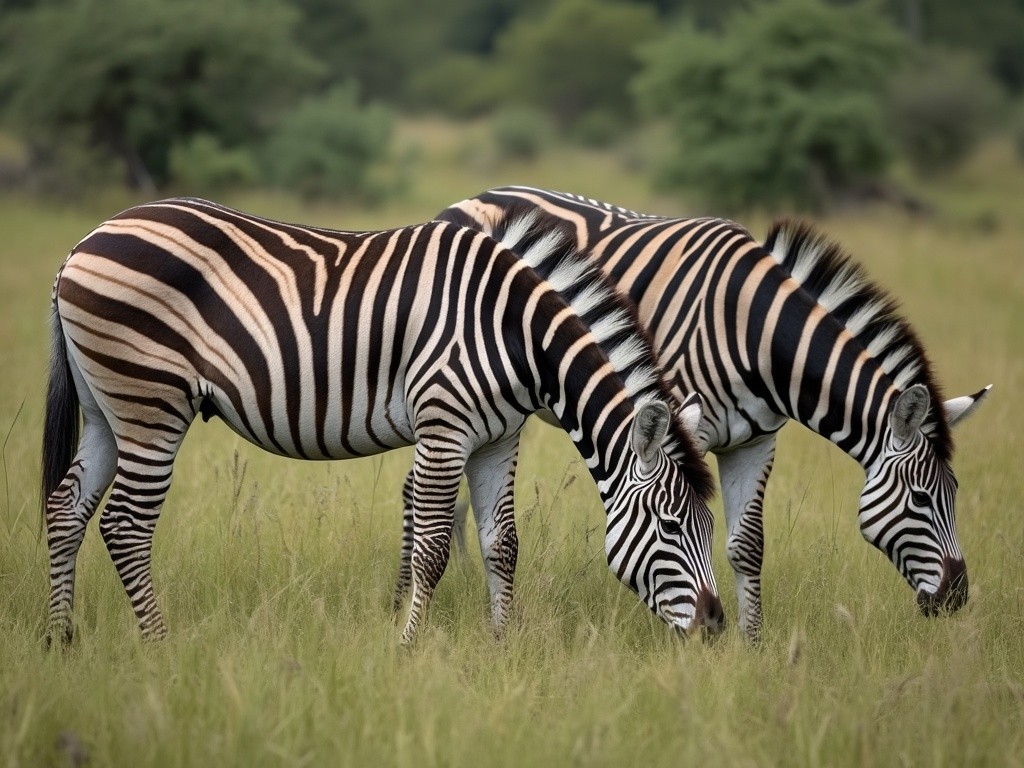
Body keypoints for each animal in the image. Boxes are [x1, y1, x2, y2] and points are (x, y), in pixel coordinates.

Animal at [39, 198, 724, 651]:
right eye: (670, 526)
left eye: (706, 525)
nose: (716, 626)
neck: (517, 335)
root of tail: (84, 241)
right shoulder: (445, 425)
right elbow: (432, 547)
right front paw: (407, 646)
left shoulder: (499, 437)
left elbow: (502, 544)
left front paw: (503, 648)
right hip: (149, 402)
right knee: (125, 524)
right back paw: (160, 646)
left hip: (105, 410)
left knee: (66, 507)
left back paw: (61, 638)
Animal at [415, 186, 991, 643]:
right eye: (922, 499)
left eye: (955, 495)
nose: (957, 598)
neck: (757, 334)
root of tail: (473, 197)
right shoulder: (684, 429)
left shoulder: (754, 442)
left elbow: (747, 546)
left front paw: (753, 647)